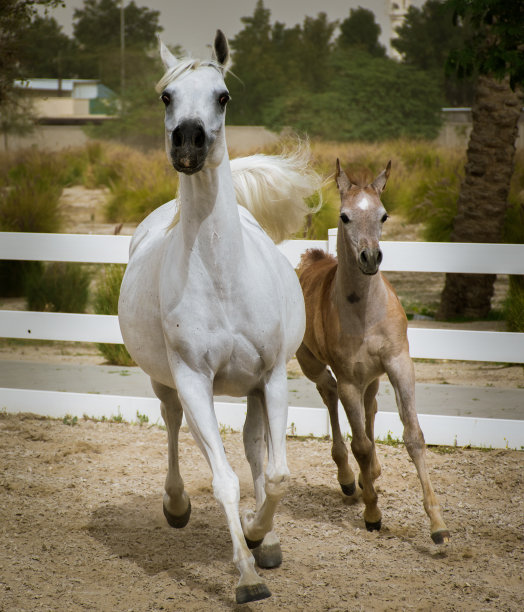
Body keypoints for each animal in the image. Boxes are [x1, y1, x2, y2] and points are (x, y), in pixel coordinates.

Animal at [118, 31, 320, 604]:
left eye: (223, 95)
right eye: (166, 96)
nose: (188, 142)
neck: (222, 275)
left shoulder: (272, 378)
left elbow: (276, 474)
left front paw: (258, 535)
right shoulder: (193, 380)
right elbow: (224, 479)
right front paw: (247, 577)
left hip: (252, 388)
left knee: (256, 450)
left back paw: (266, 539)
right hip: (167, 384)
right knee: (172, 426)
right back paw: (177, 506)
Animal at [296, 159, 448, 544]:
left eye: (383, 215)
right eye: (344, 216)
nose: (370, 257)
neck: (364, 310)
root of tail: (310, 260)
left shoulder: (399, 364)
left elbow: (413, 435)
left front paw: (438, 525)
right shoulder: (349, 377)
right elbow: (360, 444)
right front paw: (373, 514)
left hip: (373, 375)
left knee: (371, 406)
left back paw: (371, 475)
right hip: (312, 365)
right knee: (330, 395)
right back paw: (350, 480)